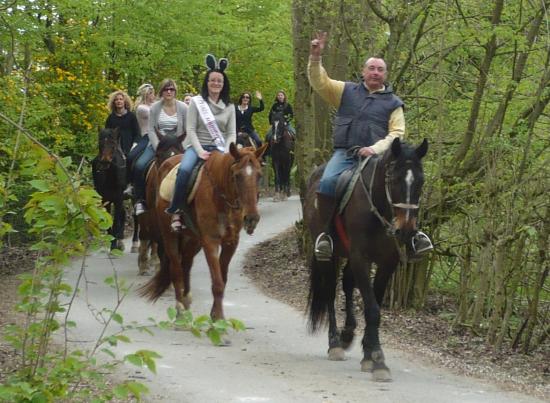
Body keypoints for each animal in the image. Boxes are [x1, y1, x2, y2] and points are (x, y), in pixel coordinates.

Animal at [141, 144, 268, 326]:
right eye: (237, 176)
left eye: (259, 175)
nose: (251, 218)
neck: (221, 199)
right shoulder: (210, 242)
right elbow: (217, 282)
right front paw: (219, 319)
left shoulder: (231, 242)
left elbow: (222, 279)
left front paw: (215, 316)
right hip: (169, 236)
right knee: (176, 269)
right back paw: (180, 313)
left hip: (193, 239)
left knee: (186, 264)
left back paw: (186, 304)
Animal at [306, 138, 432, 382]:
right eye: (394, 179)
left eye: (421, 182)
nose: (406, 231)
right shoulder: (361, 258)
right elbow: (372, 308)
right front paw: (378, 360)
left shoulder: (386, 262)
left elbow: (375, 304)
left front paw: (369, 355)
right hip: (330, 256)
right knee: (329, 292)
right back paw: (335, 344)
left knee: (347, 283)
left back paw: (347, 334)